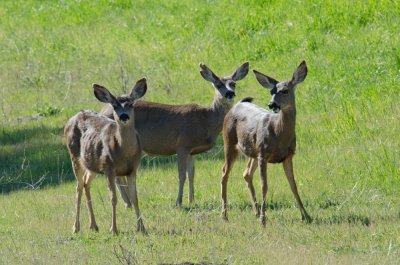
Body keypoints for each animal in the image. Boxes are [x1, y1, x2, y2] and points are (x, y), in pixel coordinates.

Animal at [64, 77, 147, 234]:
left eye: (131, 104)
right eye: (114, 106)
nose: (124, 116)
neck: (124, 154)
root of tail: (71, 119)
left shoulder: (133, 169)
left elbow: (135, 198)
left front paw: (142, 228)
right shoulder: (109, 168)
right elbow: (113, 198)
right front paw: (113, 229)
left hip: (92, 165)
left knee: (86, 183)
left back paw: (94, 225)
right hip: (74, 157)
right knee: (78, 188)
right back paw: (76, 227)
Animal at [101, 62, 248, 206]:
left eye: (233, 83)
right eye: (218, 85)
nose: (230, 93)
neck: (206, 120)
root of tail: (102, 111)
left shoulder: (192, 151)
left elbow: (191, 174)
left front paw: (192, 200)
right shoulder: (182, 144)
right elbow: (182, 175)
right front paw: (179, 202)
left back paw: (129, 201)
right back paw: (128, 203)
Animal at [220, 61, 310, 225]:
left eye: (285, 91)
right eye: (271, 91)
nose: (272, 104)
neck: (279, 134)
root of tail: (237, 104)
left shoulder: (288, 156)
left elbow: (293, 185)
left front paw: (306, 216)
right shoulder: (263, 154)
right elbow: (264, 186)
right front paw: (263, 219)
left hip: (252, 152)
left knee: (246, 173)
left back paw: (255, 212)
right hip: (229, 142)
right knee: (224, 173)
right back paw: (225, 215)